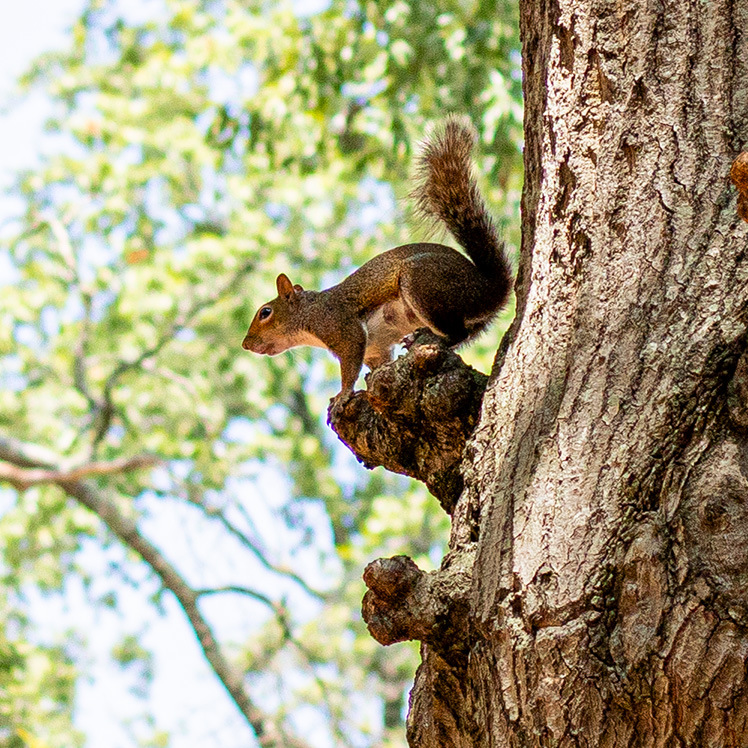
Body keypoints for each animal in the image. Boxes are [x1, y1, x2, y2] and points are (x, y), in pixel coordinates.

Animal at [242, 115, 512, 404]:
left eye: (265, 312)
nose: (246, 344)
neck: (309, 314)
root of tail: (489, 289)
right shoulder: (375, 347)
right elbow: (377, 363)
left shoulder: (341, 326)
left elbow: (350, 364)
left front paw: (343, 395)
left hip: (423, 282)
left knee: (457, 333)